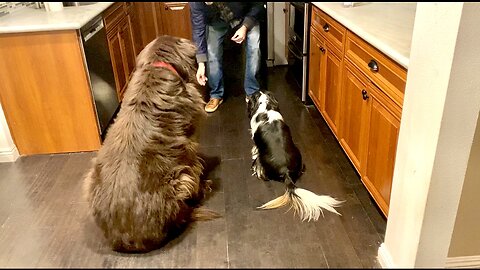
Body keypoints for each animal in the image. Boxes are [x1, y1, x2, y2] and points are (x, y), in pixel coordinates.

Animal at [83, 35, 218, 253]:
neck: (159, 66)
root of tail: (123, 239)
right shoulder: (189, 144)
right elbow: (196, 163)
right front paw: (204, 184)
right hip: (180, 179)